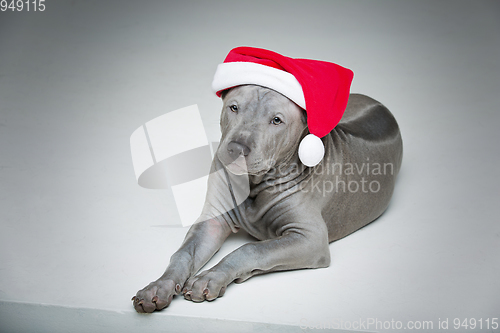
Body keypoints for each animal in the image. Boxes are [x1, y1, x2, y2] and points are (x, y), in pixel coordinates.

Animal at [132, 83, 402, 312]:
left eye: (276, 120)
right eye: (234, 107)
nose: (236, 149)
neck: (255, 184)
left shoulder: (310, 239)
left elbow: (251, 248)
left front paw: (211, 276)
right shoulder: (213, 221)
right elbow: (183, 254)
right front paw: (158, 287)